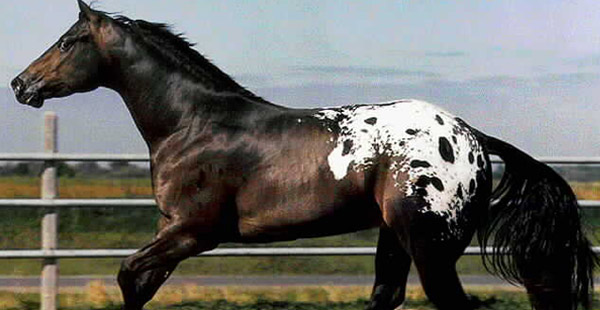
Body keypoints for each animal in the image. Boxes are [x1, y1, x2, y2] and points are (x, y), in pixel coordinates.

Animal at [9, 1, 596, 308]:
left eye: (67, 41)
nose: (20, 84)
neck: (192, 124)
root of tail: (472, 135)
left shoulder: (194, 230)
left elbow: (130, 275)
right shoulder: (175, 232)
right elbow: (140, 281)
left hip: (431, 248)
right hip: (395, 240)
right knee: (384, 296)